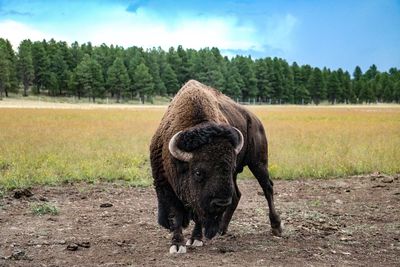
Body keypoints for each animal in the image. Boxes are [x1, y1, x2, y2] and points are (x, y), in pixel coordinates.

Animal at [150, 80, 282, 254]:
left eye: (230, 167)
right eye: (198, 172)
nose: (221, 203)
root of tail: (255, 120)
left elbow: (198, 216)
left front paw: (196, 239)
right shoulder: (166, 186)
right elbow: (175, 214)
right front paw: (177, 245)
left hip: (258, 163)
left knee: (267, 188)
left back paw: (276, 228)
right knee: (237, 195)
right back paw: (222, 229)